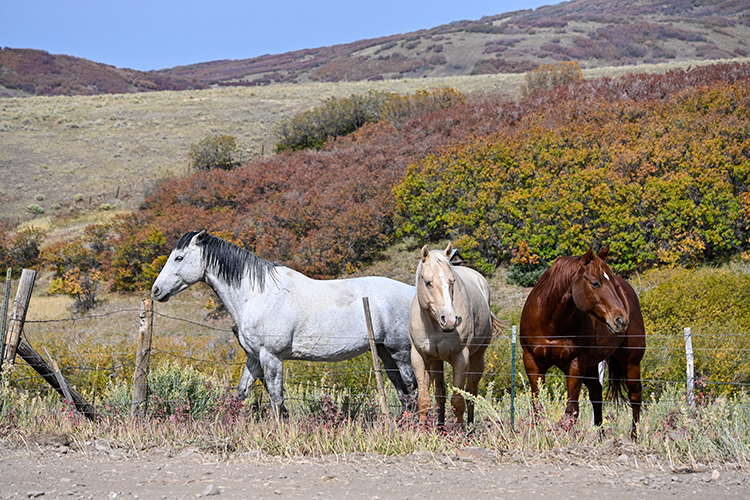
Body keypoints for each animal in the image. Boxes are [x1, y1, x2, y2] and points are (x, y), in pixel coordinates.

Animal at [151, 231, 418, 418]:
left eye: (179, 257)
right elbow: (241, 393)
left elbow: (276, 398)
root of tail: (413, 291)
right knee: (403, 393)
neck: (258, 295)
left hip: (400, 352)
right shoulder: (254, 357)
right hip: (384, 353)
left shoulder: (272, 357)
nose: (156, 290)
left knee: (412, 389)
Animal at [408, 242, 502, 426]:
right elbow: (424, 400)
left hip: (477, 357)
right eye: (428, 282)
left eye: (452, 281)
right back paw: (440, 425)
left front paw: (459, 431)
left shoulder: (461, 359)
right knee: (440, 393)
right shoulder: (419, 357)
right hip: (436, 362)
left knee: (471, 392)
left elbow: (458, 402)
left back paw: (470, 425)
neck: (434, 326)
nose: (450, 320)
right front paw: (422, 430)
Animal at [524, 246, 648, 438]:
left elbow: (571, 410)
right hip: (591, 365)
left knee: (635, 397)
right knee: (597, 393)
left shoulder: (576, 363)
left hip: (631, 362)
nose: (621, 320)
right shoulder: (532, 361)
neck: (551, 321)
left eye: (612, 282)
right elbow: (538, 406)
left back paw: (633, 438)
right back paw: (600, 436)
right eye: (595, 283)